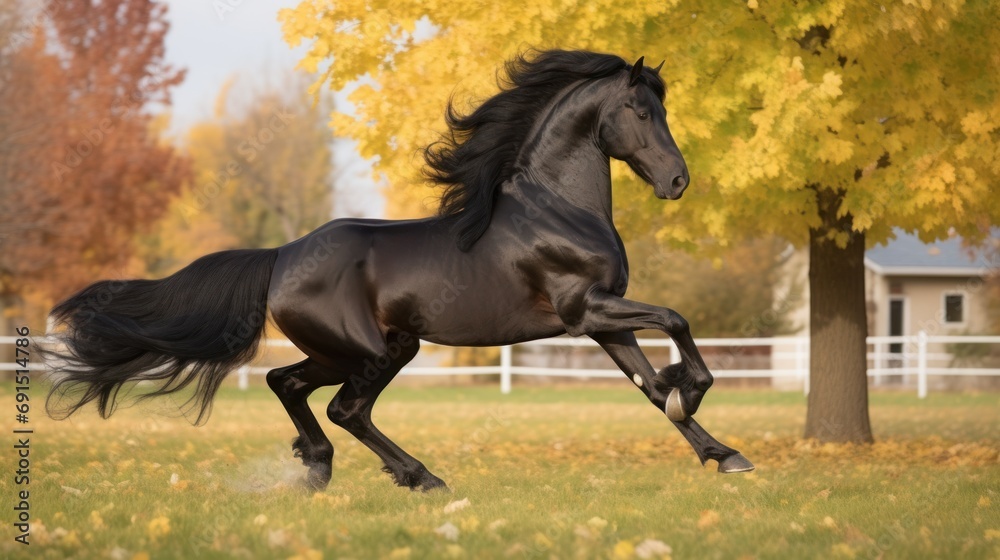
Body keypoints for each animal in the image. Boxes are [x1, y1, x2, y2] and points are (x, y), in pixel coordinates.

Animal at [46, 49, 754, 492]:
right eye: (641, 111)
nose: (677, 181)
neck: (555, 209)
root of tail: (282, 256)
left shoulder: (605, 320)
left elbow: (648, 386)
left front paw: (725, 454)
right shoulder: (584, 310)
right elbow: (678, 322)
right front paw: (690, 390)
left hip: (357, 349)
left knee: (287, 383)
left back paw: (318, 468)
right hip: (375, 351)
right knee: (344, 408)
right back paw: (420, 477)